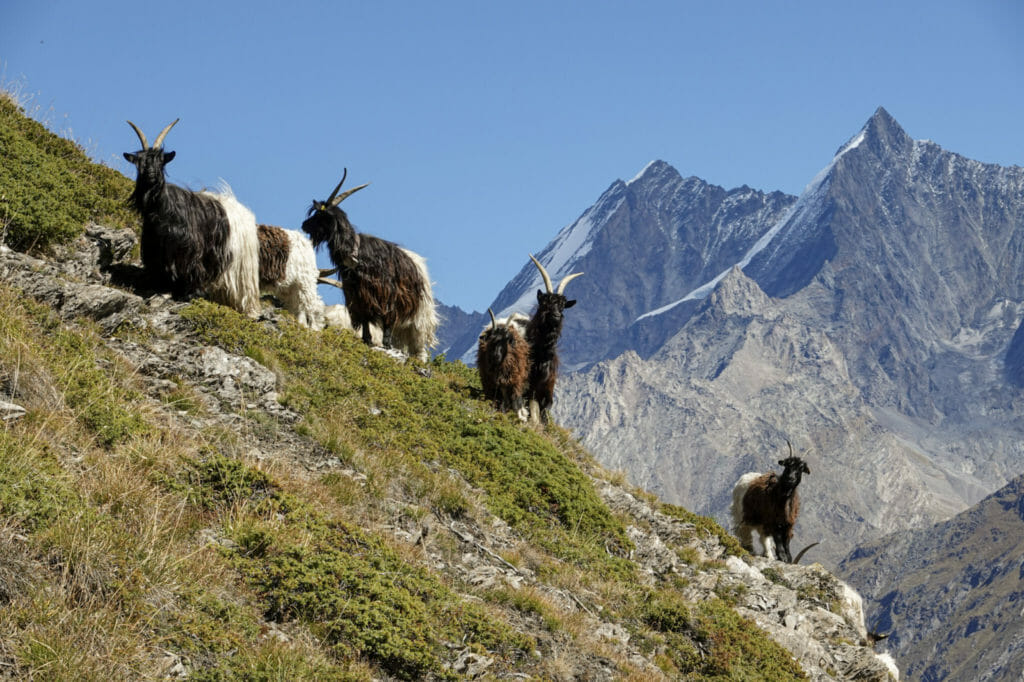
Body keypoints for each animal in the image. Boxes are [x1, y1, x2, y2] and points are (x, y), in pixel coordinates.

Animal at [124, 119, 260, 316]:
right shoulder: (157, 251)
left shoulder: (190, 250)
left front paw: (190, 293)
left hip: (242, 264)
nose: (150, 175)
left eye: (161, 162)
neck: (164, 209)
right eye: (140, 163)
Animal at [301, 170, 438, 361]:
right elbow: (365, 318)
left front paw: (385, 344)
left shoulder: (387, 293)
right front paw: (367, 339)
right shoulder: (358, 294)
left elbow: (387, 319)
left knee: (418, 340)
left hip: (420, 312)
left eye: (321, 215)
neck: (356, 252)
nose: (304, 225)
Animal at [524, 254, 582, 423]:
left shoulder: (547, 391)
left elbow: (543, 416)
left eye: (562, 306)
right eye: (545, 303)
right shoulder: (528, 387)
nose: (556, 316)